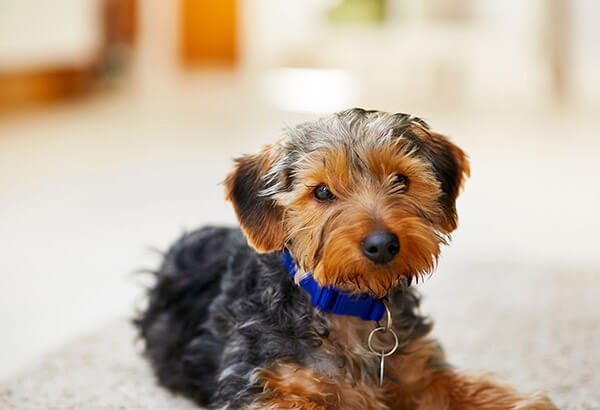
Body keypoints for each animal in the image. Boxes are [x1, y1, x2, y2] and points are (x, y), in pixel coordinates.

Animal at [135, 107, 552, 408]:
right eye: (321, 192)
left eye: (401, 180)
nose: (382, 244)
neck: (347, 304)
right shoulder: (264, 384)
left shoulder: (417, 368)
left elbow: (469, 387)